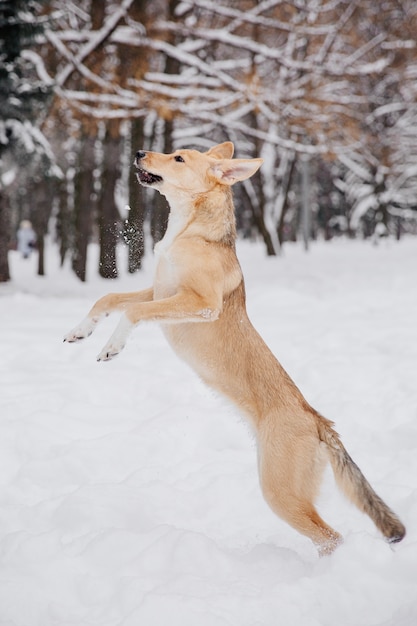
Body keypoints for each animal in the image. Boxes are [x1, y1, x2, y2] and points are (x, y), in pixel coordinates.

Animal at [63, 140, 404, 552]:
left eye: (178, 158)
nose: (140, 153)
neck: (190, 230)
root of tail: (319, 422)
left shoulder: (199, 303)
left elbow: (131, 312)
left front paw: (112, 347)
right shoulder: (159, 291)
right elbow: (111, 299)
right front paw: (80, 331)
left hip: (280, 491)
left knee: (330, 537)